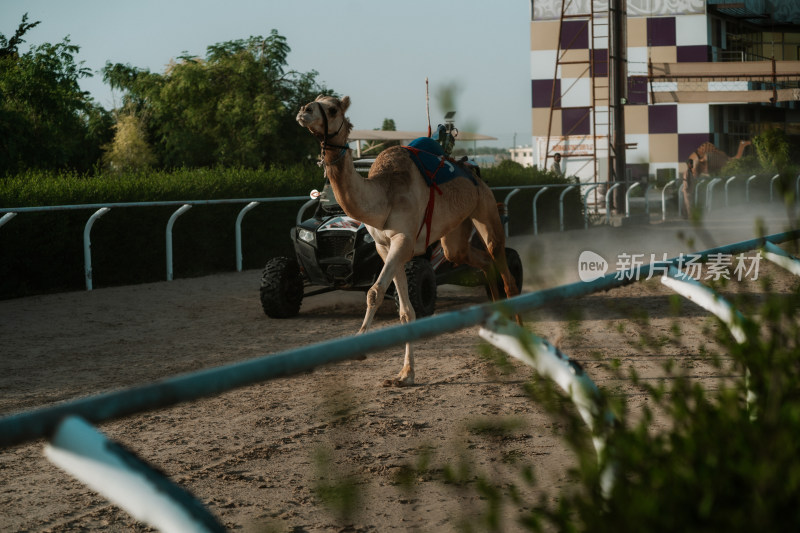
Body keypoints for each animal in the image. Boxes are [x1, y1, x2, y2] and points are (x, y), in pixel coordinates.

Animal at [296, 95, 520, 384]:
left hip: (485, 207)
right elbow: (405, 311)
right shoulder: (385, 246)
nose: (304, 111)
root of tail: (472, 169)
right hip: (455, 234)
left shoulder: (403, 240)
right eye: (314, 101)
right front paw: (405, 374)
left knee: (503, 266)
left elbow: (374, 292)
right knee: (474, 259)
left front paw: (360, 350)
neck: (383, 198)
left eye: (332, 108)